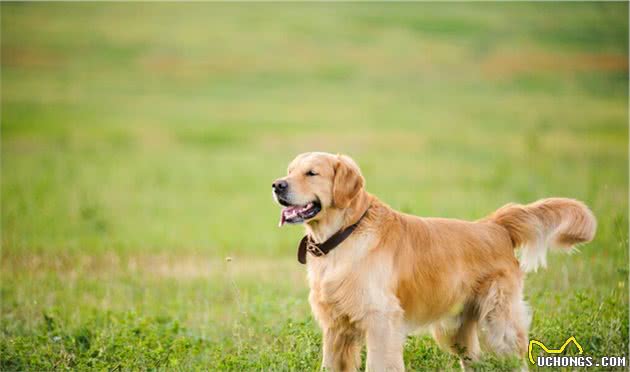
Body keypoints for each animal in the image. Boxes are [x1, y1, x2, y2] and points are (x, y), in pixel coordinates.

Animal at [272, 152, 596, 372]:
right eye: (290, 170)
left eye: (311, 173)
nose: (277, 185)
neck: (344, 233)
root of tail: (494, 225)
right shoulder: (336, 326)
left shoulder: (381, 320)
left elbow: (379, 363)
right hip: (455, 327)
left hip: (498, 320)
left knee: (515, 356)